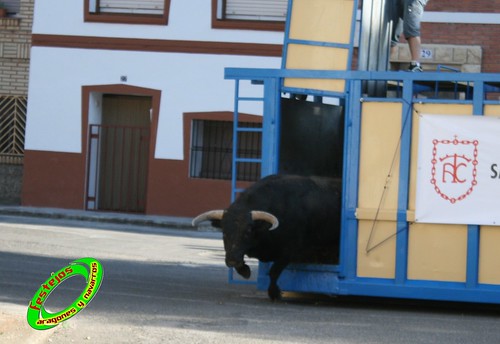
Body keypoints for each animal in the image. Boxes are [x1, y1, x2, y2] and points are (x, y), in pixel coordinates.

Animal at [193, 173, 342, 300]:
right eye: (224, 231)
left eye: (248, 231)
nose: (232, 260)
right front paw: (245, 270)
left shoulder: (288, 252)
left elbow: (273, 272)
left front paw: (274, 293)